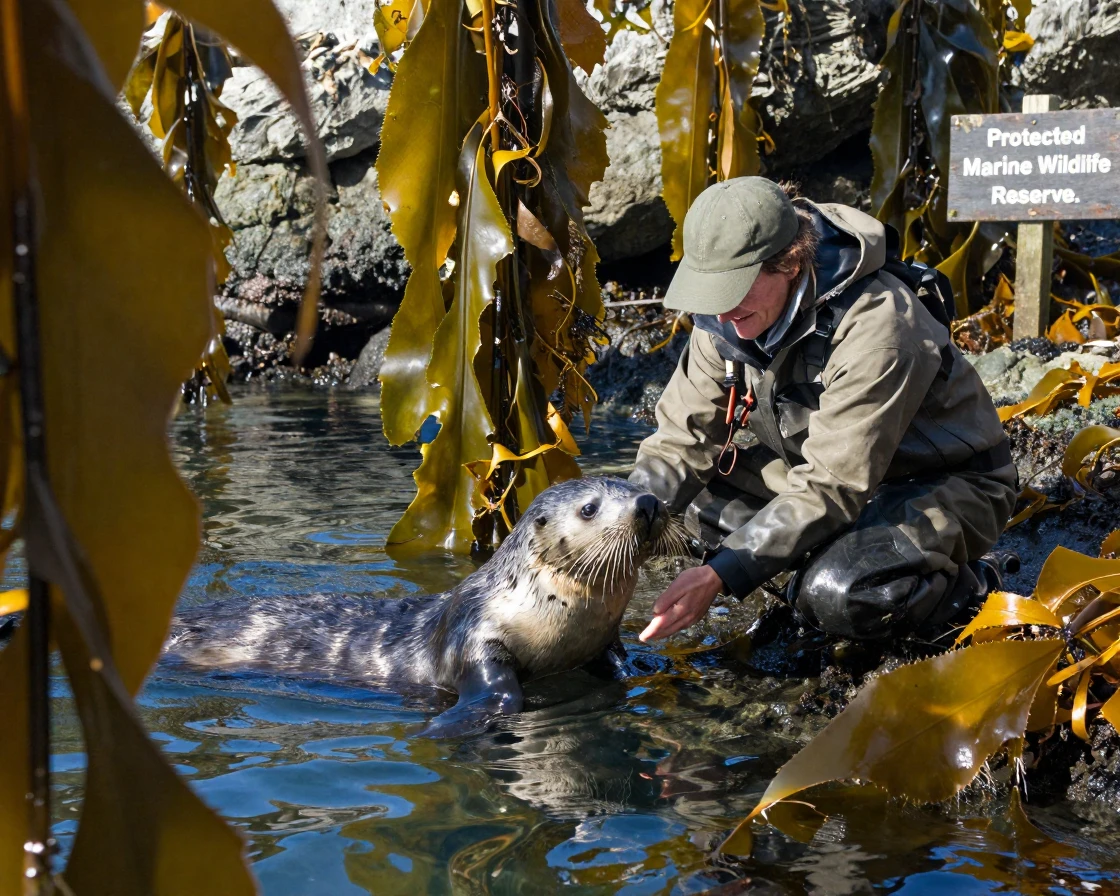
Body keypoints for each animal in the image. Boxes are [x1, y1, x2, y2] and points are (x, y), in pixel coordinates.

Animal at [164, 477, 684, 736]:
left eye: (633, 485)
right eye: (589, 508)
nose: (647, 502)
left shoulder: (601, 638)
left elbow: (616, 660)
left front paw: (643, 670)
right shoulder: (474, 635)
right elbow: (497, 693)